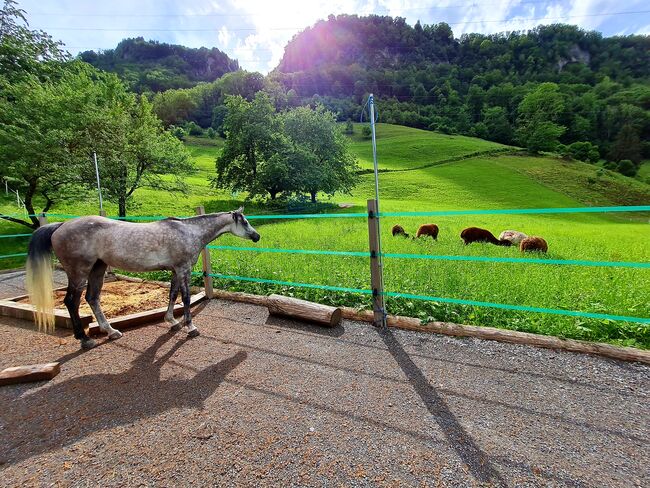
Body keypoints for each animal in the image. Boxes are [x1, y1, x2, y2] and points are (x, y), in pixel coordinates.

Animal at [26, 208, 258, 348]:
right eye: (245, 222)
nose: (257, 236)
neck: (188, 232)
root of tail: (60, 226)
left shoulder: (175, 271)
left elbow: (172, 295)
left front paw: (172, 321)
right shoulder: (183, 270)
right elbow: (184, 298)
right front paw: (190, 327)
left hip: (98, 269)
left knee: (92, 298)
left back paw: (111, 332)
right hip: (78, 273)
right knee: (71, 302)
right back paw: (84, 339)